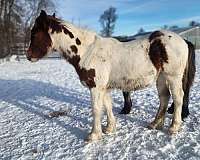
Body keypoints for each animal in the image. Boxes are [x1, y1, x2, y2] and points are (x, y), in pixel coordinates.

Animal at [27, 10, 195, 142]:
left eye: (34, 33)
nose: (28, 56)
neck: (87, 51)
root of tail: (183, 40)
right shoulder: (104, 88)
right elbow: (107, 106)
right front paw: (109, 129)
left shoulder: (95, 87)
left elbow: (96, 109)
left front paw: (94, 135)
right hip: (161, 78)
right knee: (164, 97)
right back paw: (155, 124)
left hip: (173, 77)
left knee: (178, 97)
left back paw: (174, 127)